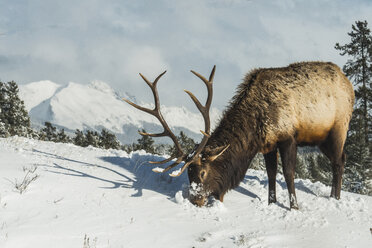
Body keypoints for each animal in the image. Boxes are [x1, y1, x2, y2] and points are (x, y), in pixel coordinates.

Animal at [124, 62, 354, 209]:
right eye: (188, 173)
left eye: (203, 172)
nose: (195, 200)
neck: (255, 126)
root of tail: (350, 85)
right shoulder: (268, 144)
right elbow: (271, 173)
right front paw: (271, 202)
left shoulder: (288, 136)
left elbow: (289, 173)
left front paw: (294, 207)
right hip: (321, 139)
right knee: (340, 159)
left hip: (338, 129)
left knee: (339, 161)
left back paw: (336, 197)